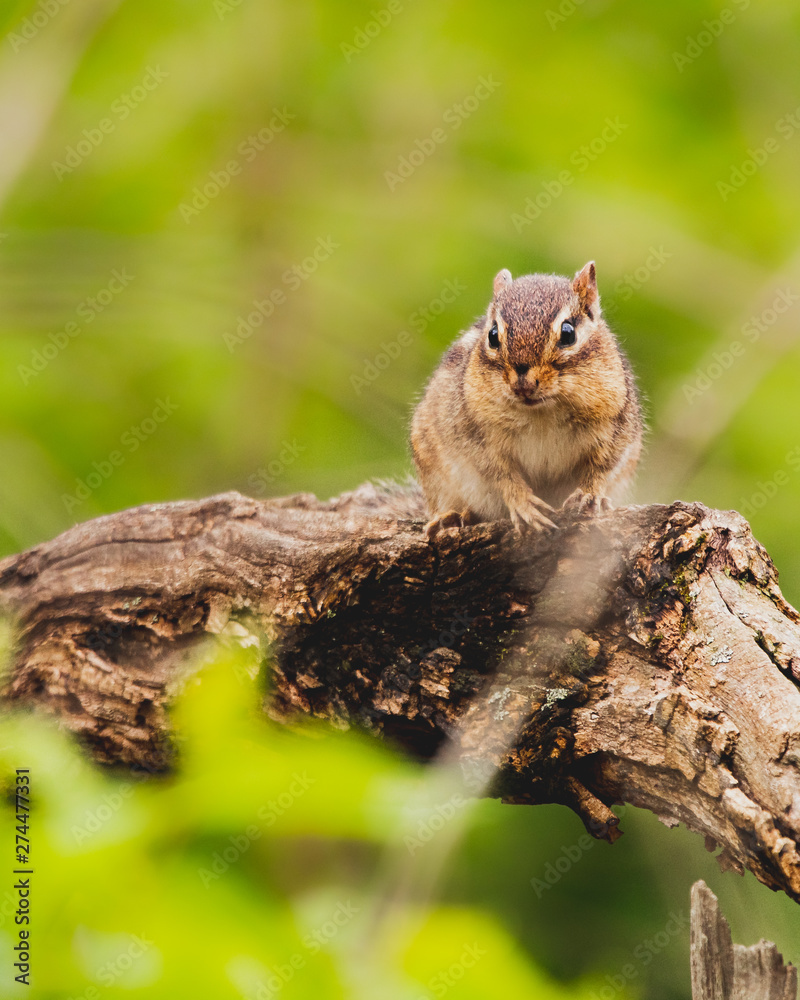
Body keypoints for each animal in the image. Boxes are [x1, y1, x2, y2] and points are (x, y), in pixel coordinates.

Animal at [410, 261, 642, 539]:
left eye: (568, 333)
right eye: (492, 335)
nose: (523, 383)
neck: (543, 411)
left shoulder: (615, 427)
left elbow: (601, 467)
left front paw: (590, 495)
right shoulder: (475, 434)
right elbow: (501, 475)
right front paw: (523, 504)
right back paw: (453, 517)